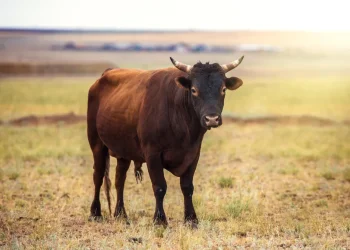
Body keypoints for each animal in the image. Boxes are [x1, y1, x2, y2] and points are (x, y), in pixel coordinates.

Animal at [87, 56, 243, 227]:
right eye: (194, 90)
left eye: (223, 89)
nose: (212, 119)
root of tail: (104, 76)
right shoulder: (152, 154)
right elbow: (160, 186)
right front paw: (160, 219)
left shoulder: (193, 154)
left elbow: (187, 187)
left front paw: (191, 219)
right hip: (97, 145)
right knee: (98, 176)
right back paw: (95, 213)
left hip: (123, 151)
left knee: (119, 179)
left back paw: (121, 214)